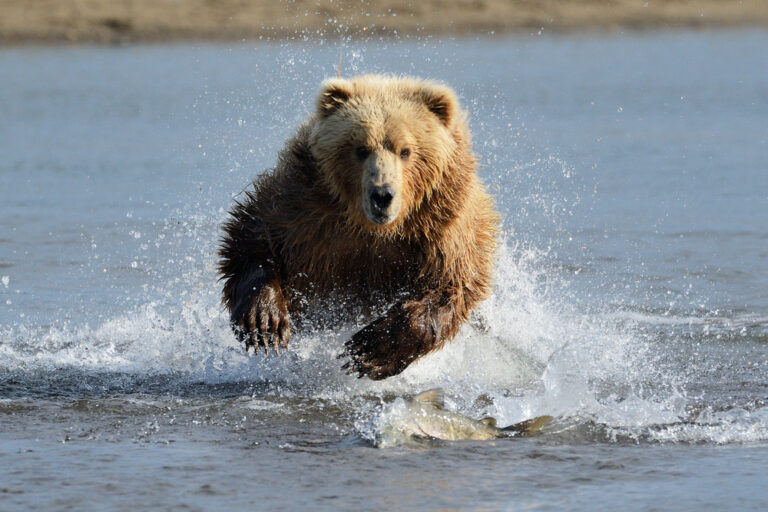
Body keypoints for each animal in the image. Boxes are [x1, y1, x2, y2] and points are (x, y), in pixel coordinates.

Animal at [218, 74, 499, 380]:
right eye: (360, 149)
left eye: (406, 150)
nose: (382, 195)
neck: (374, 229)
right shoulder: (305, 207)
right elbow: (254, 238)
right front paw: (265, 322)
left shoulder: (441, 226)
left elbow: (448, 286)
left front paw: (369, 350)